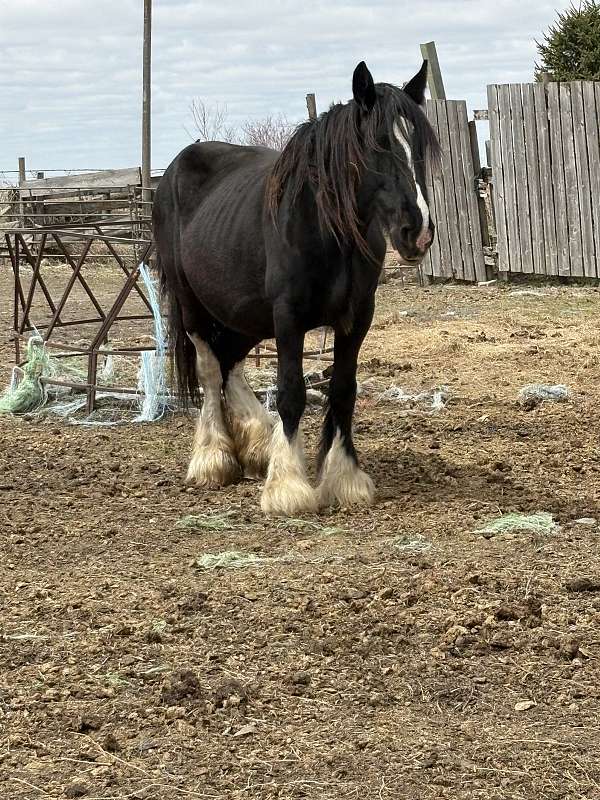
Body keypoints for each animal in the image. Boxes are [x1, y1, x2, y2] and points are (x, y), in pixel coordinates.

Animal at [153, 60, 440, 516]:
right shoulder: (288, 318)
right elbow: (291, 392)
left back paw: (256, 444)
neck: (324, 225)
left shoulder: (357, 318)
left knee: (231, 362)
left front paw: (344, 478)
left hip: (244, 314)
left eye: (419, 145)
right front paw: (287, 487)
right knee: (211, 368)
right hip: (193, 305)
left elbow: (343, 391)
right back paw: (214, 459)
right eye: (378, 144)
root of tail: (171, 173)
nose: (419, 231)